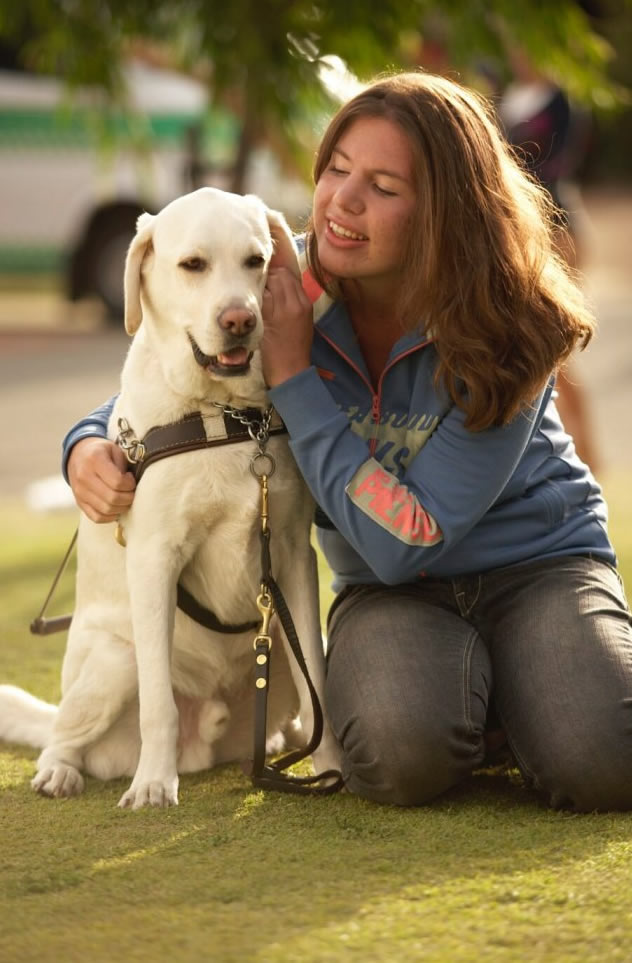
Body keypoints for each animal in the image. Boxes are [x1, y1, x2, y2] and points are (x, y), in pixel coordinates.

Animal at [0, 186, 340, 804]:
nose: (240, 319)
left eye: (255, 260)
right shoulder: (156, 559)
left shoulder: (293, 558)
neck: (224, 416)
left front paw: (334, 766)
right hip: (115, 658)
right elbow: (158, 703)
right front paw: (155, 784)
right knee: (61, 734)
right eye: (193, 265)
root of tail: (205, 746)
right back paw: (60, 772)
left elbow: (318, 686)